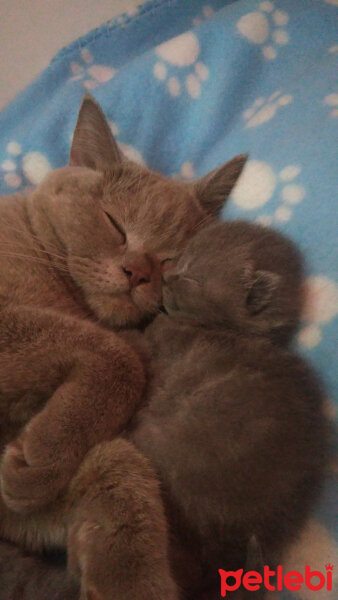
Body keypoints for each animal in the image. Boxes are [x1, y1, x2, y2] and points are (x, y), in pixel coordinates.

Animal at [0, 96, 246, 596]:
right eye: (115, 225)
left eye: (171, 259)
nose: (137, 272)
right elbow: (119, 356)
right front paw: (45, 454)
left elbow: (116, 456)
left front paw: (130, 578)